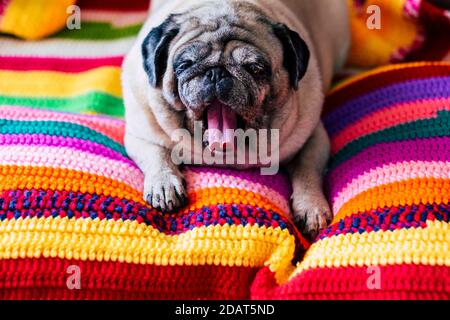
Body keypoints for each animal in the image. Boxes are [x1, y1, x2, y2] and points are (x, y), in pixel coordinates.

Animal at [123, 0, 352, 240]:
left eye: (255, 68)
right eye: (184, 64)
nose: (216, 73)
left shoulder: (313, 137)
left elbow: (308, 170)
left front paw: (311, 207)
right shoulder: (141, 134)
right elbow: (157, 155)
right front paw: (164, 184)